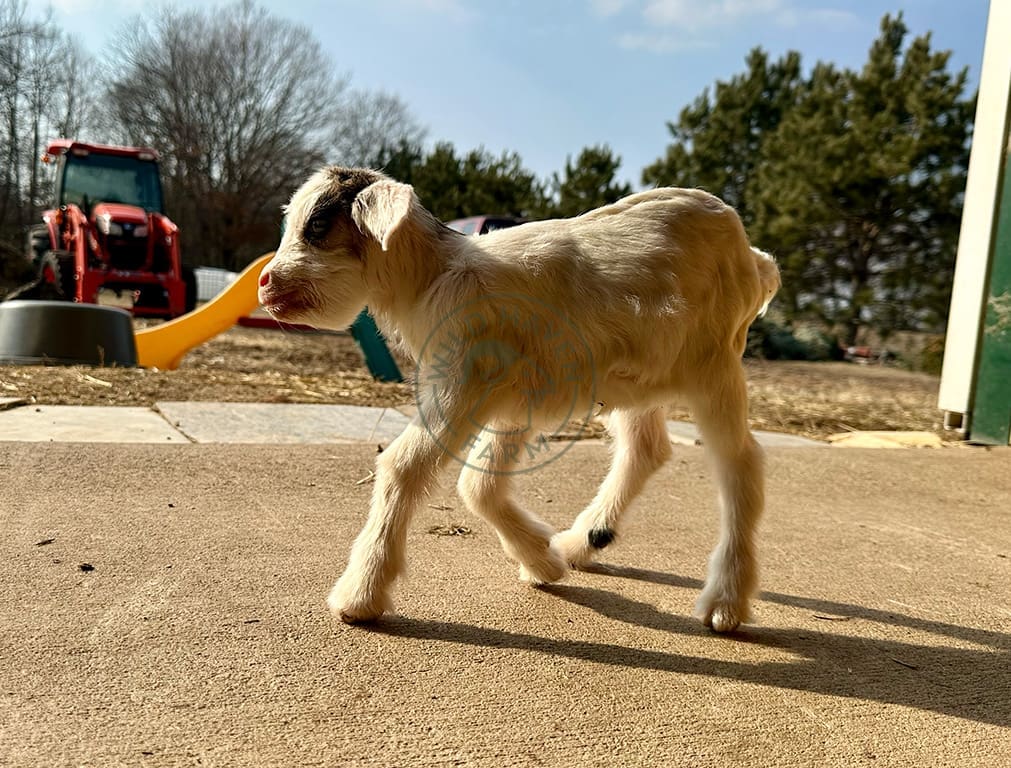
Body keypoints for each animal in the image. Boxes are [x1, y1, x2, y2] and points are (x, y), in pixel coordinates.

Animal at [258, 167, 780, 633]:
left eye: (317, 225)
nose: (264, 283)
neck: (433, 276)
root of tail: (754, 259)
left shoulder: (464, 380)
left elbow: (404, 466)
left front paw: (359, 597)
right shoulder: (512, 399)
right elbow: (479, 485)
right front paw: (543, 562)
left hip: (714, 366)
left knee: (740, 463)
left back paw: (726, 603)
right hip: (637, 379)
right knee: (646, 448)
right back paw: (583, 542)